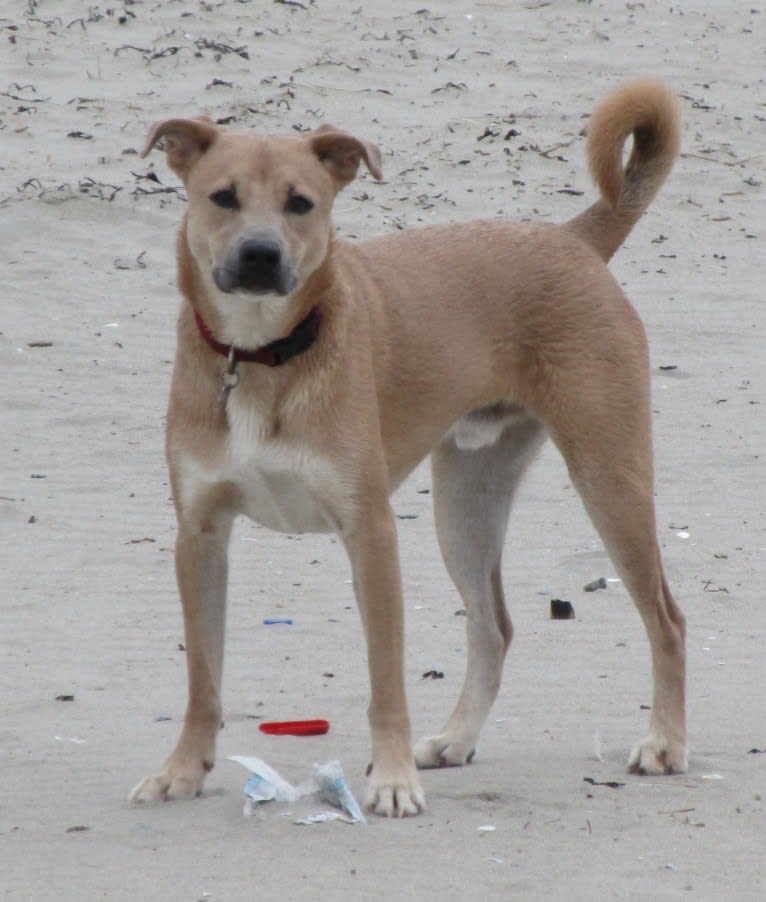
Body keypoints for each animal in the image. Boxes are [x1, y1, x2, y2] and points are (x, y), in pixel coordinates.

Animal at [130, 81, 688, 820]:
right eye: (222, 197)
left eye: (301, 203)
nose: (260, 255)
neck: (261, 354)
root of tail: (570, 239)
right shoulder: (198, 537)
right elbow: (203, 679)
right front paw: (183, 770)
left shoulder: (369, 532)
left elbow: (384, 681)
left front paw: (391, 779)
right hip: (465, 505)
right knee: (493, 627)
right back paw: (457, 738)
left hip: (609, 479)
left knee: (667, 620)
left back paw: (665, 742)